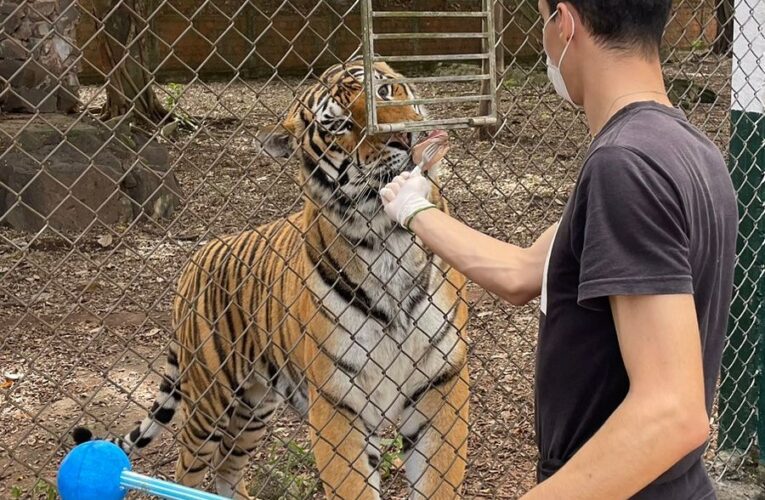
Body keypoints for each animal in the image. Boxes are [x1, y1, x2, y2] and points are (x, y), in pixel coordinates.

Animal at [73, 59, 469, 500]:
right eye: (340, 125)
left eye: (384, 91)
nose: (404, 136)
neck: (389, 238)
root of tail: (196, 257)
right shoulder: (337, 402)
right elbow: (353, 484)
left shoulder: (441, 384)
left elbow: (437, 480)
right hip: (208, 403)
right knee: (186, 469)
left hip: (254, 408)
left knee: (227, 465)